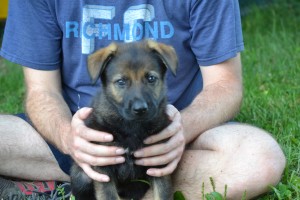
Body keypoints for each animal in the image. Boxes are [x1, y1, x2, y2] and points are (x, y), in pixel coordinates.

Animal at [70, 40, 178, 200]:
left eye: (151, 78)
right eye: (121, 82)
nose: (140, 109)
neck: (133, 127)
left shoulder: (159, 163)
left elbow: (162, 194)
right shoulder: (103, 165)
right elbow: (108, 195)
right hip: (81, 177)